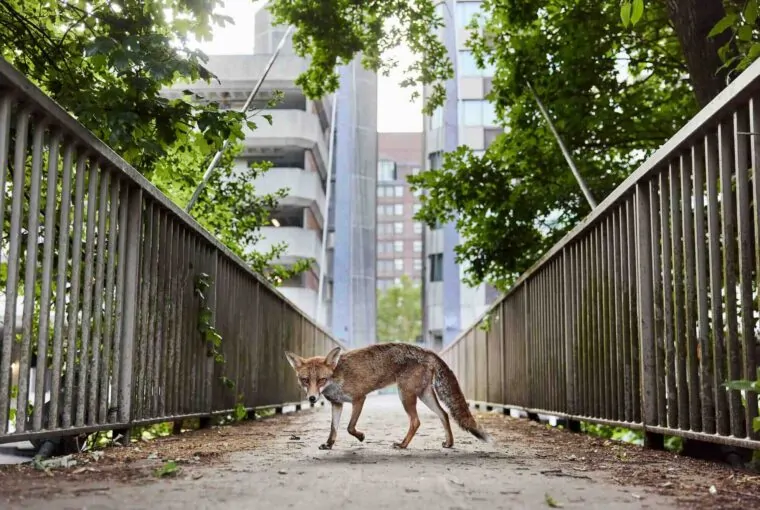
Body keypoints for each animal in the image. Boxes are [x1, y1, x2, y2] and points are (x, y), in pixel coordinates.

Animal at [282, 342, 490, 450]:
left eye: (322, 380)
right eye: (305, 380)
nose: (312, 399)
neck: (337, 378)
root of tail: (427, 350)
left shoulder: (359, 399)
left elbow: (349, 427)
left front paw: (361, 437)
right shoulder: (337, 404)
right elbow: (333, 429)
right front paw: (329, 444)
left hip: (405, 395)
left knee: (416, 421)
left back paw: (403, 445)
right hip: (424, 396)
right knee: (444, 414)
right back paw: (449, 443)